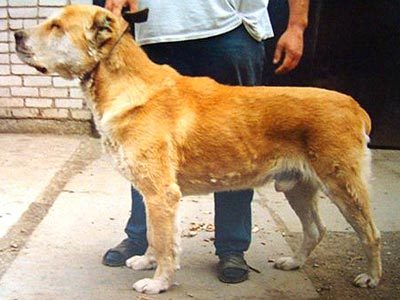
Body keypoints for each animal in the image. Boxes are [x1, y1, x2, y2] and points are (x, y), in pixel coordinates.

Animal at [14, 4, 382, 296]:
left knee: (371, 234)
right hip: (298, 187)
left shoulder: (162, 194)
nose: (16, 35)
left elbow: (166, 244)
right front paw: (146, 261)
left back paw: (371, 278)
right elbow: (154, 235)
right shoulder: (151, 195)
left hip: (344, 187)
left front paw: (158, 282)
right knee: (315, 230)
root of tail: (355, 106)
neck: (122, 84)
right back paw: (294, 262)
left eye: (57, 26)